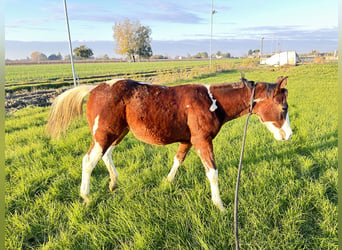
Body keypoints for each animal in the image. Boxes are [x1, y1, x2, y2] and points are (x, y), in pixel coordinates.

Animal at [46, 77, 292, 210]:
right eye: (283, 108)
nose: (289, 135)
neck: (212, 101)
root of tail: (95, 88)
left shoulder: (189, 140)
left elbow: (178, 159)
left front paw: (167, 182)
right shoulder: (202, 141)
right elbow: (212, 172)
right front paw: (219, 205)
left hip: (118, 132)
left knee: (106, 155)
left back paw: (113, 183)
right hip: (104, 134)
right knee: (88, 160)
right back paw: (86, 197)